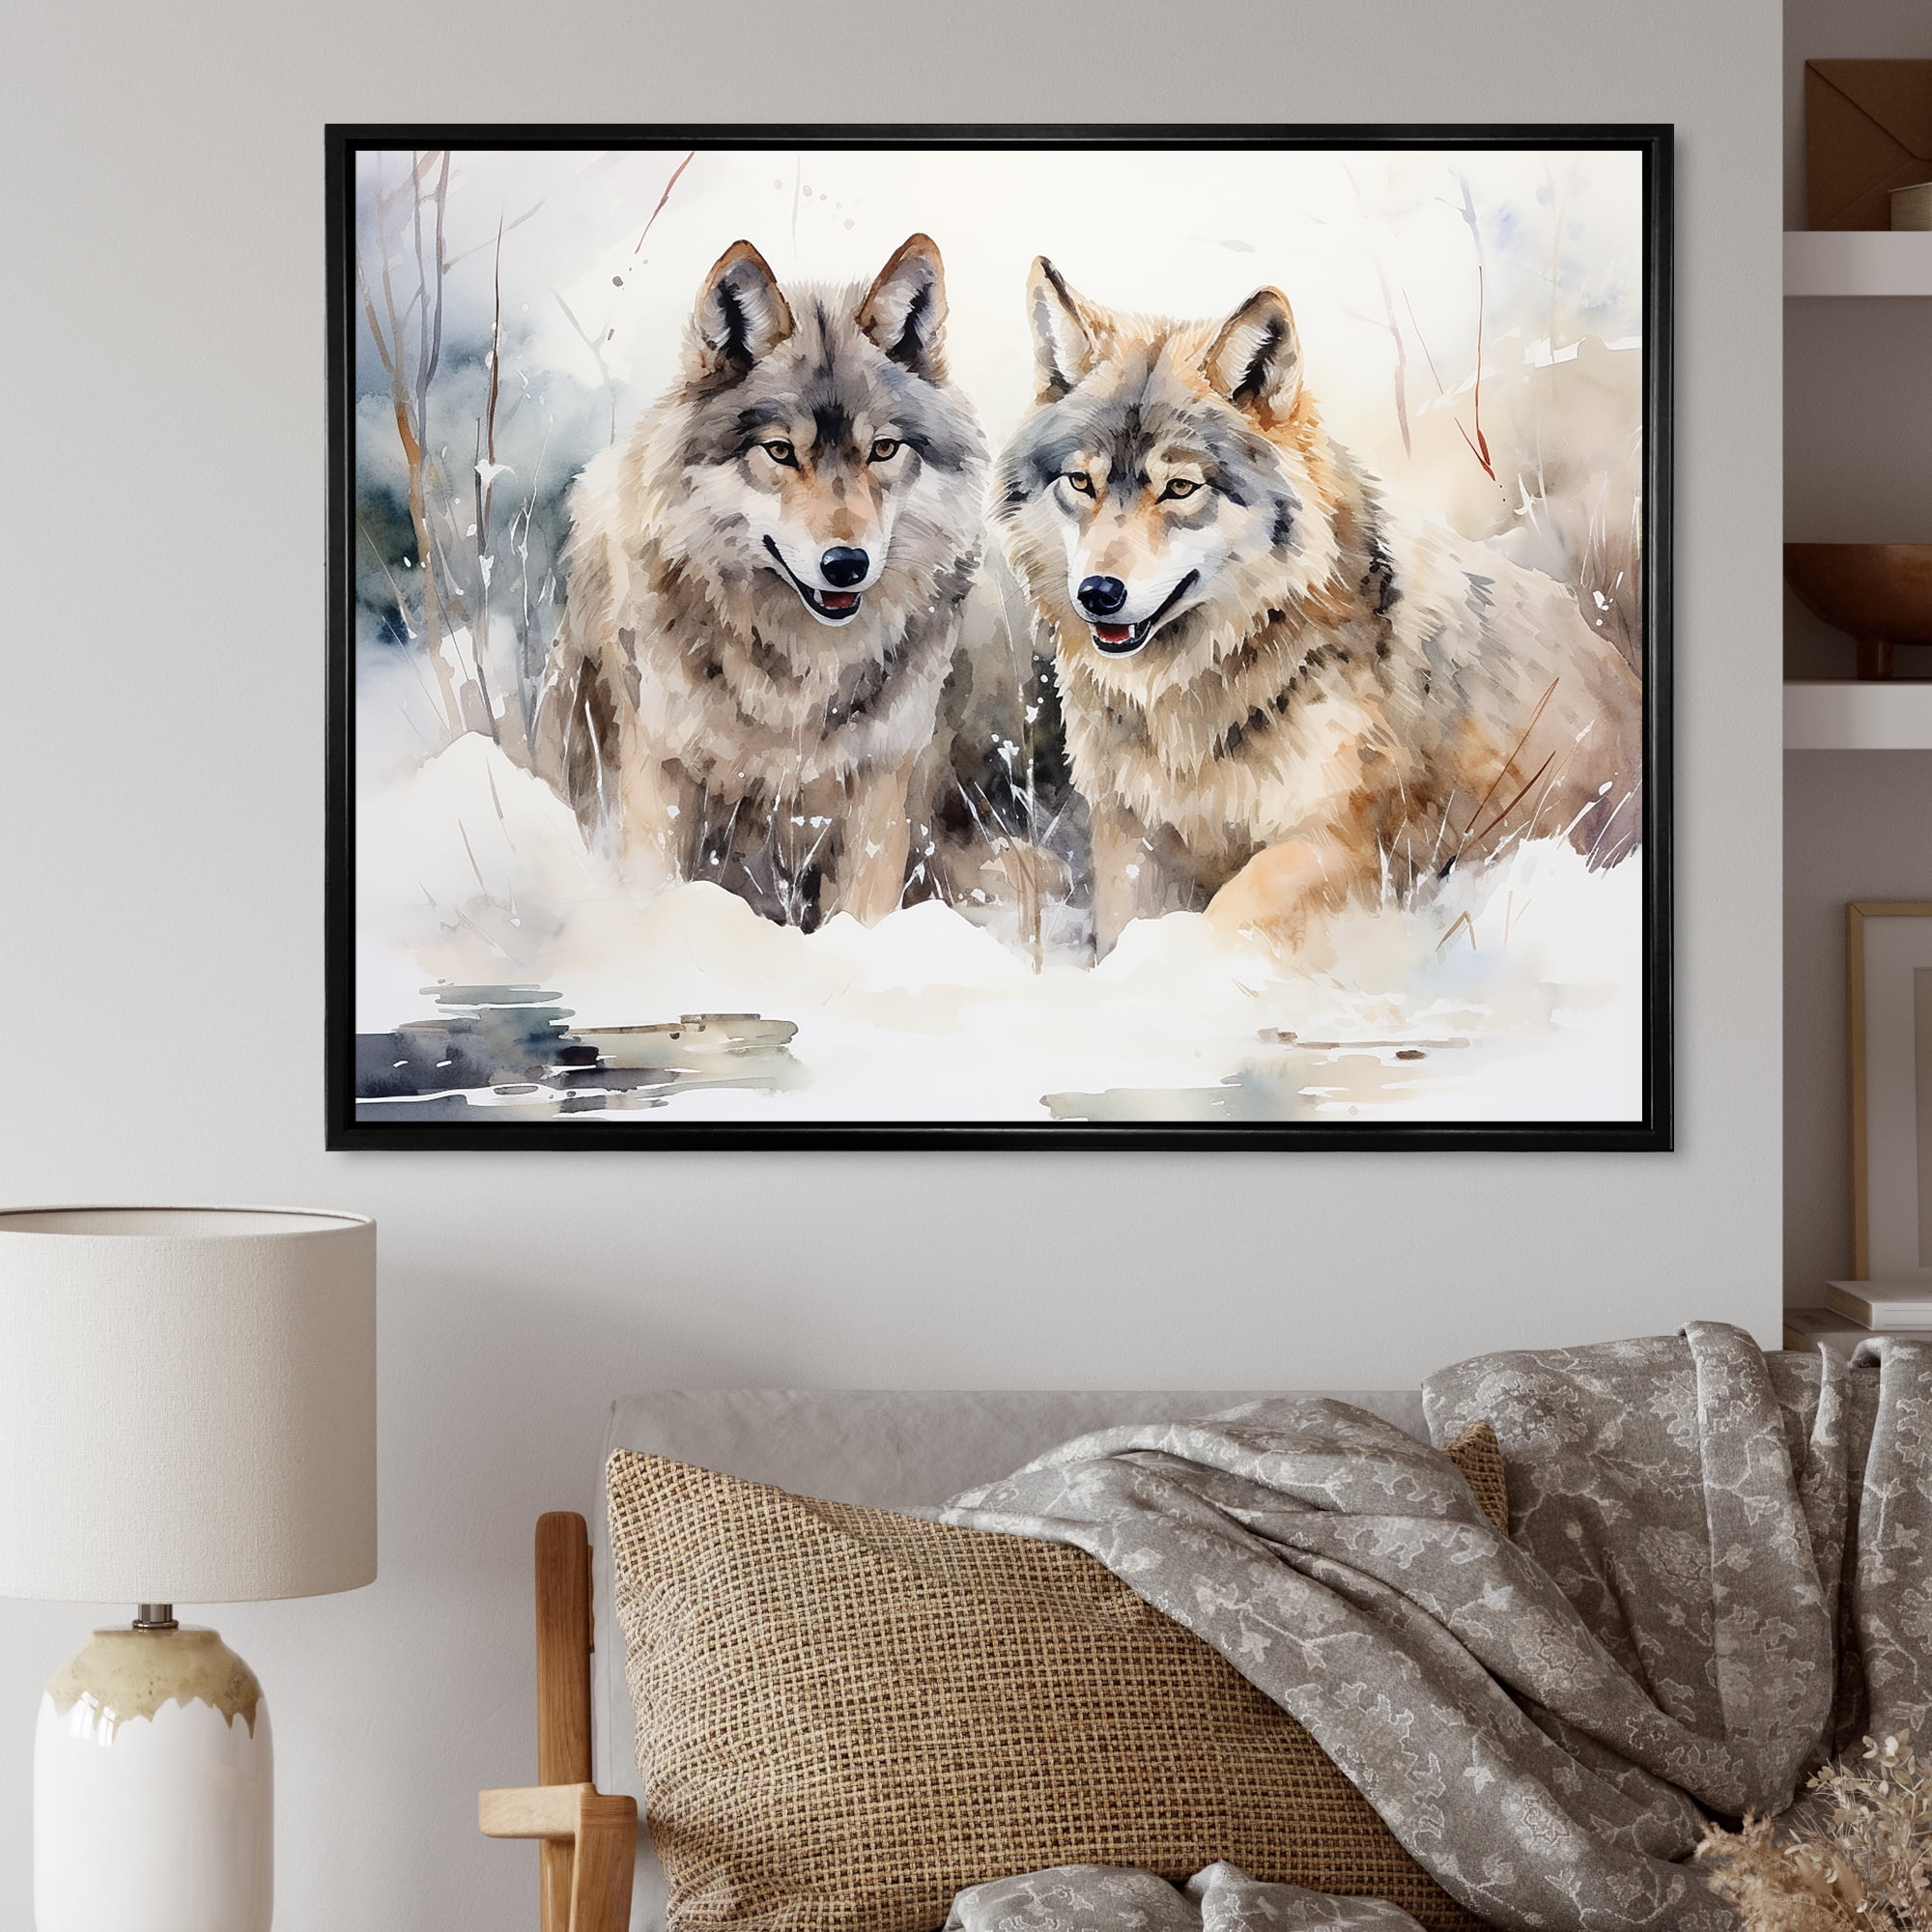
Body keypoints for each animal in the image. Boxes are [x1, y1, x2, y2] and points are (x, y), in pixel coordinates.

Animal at [533, 234, 988, 928]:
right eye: (779, 452)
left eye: (882, 450)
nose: (846, 563)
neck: (796, 671)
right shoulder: (658, 770)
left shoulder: (881, 783)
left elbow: (864, 913)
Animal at [993, 259, 1644, 954]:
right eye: (1080, 482)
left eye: (1180, 488)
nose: (1098, 593)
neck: (1192, 699)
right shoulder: (1133, 845)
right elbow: (1128, 930)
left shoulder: (1336, 842)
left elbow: (1224, 915)